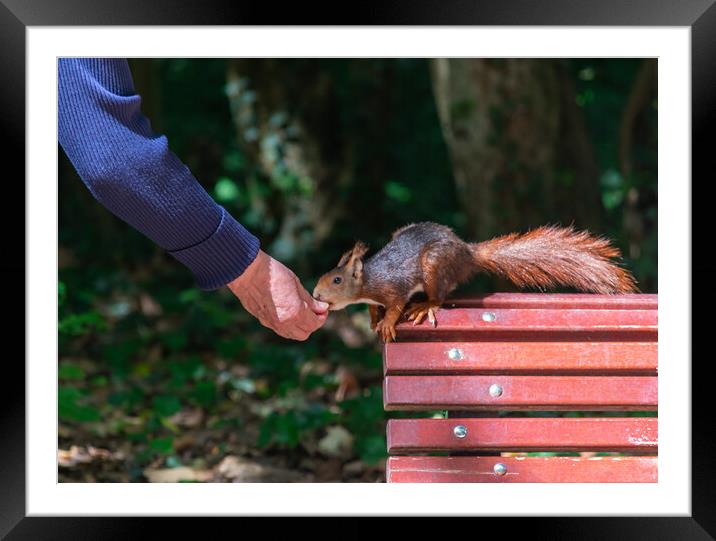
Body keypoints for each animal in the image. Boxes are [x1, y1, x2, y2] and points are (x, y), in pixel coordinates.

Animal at [314, 220, 636, 342]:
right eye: (324, 275)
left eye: (337, 280)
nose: (315, 295)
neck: (369, 281)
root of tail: (466, 253)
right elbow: (373, 307)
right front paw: (372, 319)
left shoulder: (395, 286)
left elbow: (395, 306)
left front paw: (386, 323)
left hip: (434, 265)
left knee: (440, 295)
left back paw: (425, 306)